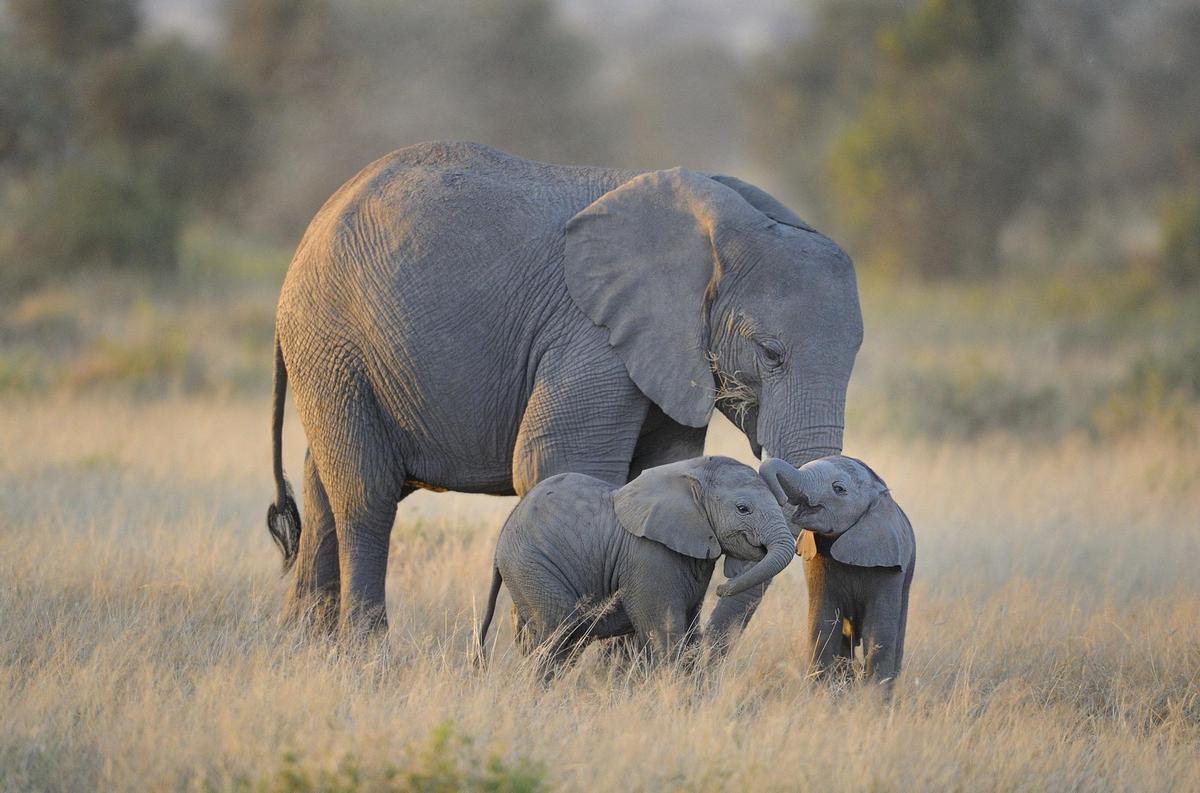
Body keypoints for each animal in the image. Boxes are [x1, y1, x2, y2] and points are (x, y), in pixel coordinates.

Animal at [266, 143, 859, 638]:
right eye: (770, 354)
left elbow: (660, 469)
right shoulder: (591, 335)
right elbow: (560, 462)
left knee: (323, 485)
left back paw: (304, 647)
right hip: (333, 340)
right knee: (365, 494)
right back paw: (366, 652)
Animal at [477, 453, 796, 671]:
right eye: (743, 509)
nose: (722, 588)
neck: (690, 472)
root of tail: (503, 536)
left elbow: (690, 632)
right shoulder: (649, 556)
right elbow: (665, 633)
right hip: (532, 566)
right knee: (558, 632)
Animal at [758, 453, 916, 691]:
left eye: (839, 489)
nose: (782, 500)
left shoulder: (889, 565)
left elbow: (878, 630)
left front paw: (873, 697)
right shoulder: (816, 560)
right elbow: (823, 623)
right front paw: (820, 692)